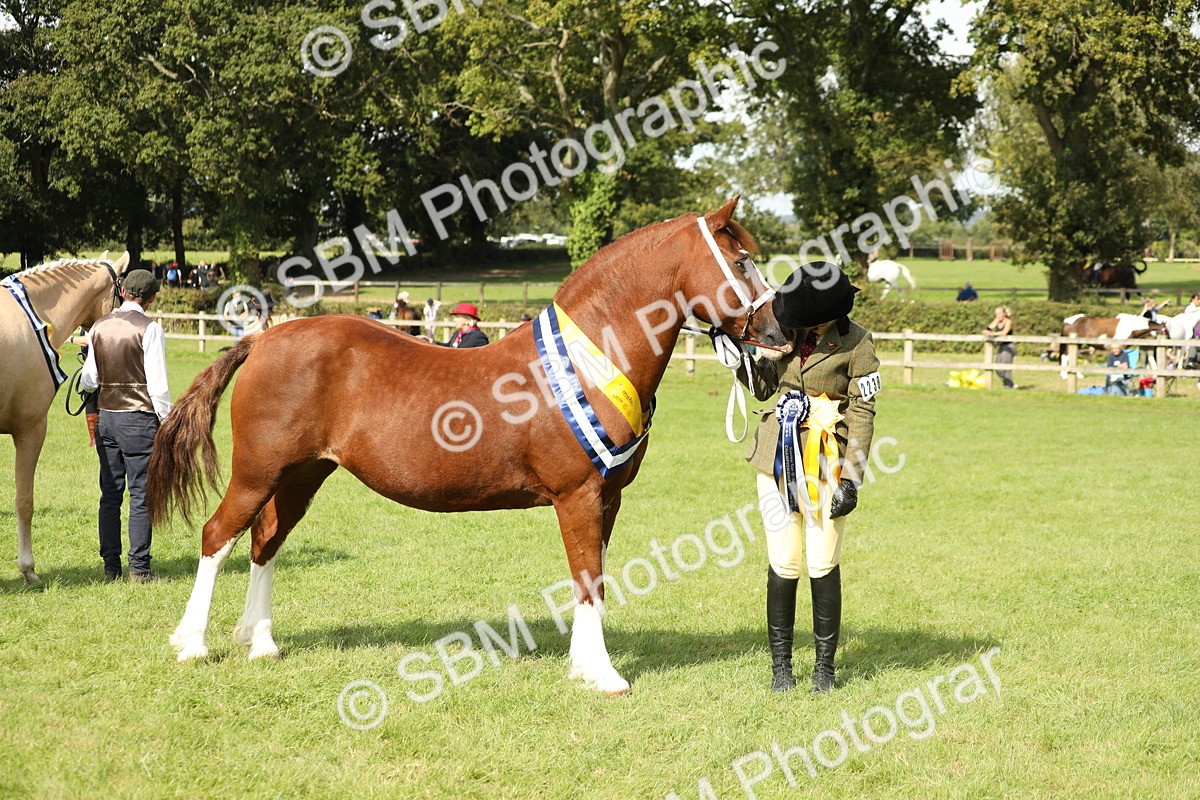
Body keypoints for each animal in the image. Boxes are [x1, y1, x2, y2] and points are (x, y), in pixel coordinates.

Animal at [147, 197, 790, 694]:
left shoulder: (608, 499)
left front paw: (582, 666)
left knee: (265, 543)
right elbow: (587, 578)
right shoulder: (578, 496)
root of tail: (261, 339)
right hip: (258, 471)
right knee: (218, 536)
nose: (778, 336)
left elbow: (595, 581)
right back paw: (192, 644)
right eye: (742, 261)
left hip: (303, 475)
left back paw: (261, 643)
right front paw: (604, 676)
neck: (590, 362)